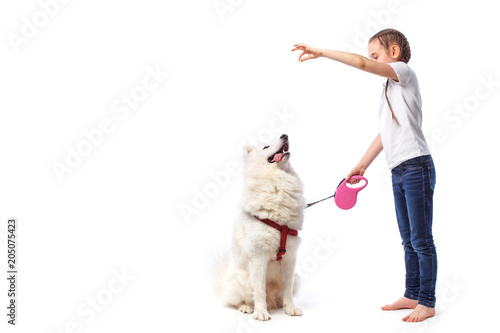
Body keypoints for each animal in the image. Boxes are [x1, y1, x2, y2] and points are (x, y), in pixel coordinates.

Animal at [223, 134, 304, 320]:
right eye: (266, 146)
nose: (284, 135)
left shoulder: (290, 257)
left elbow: (288, 288)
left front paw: (290, 308)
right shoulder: (259, 256)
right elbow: (259, 290)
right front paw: (261, 312)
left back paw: (279, 304)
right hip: (241, 278)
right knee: (237, 300)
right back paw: (247, 307)